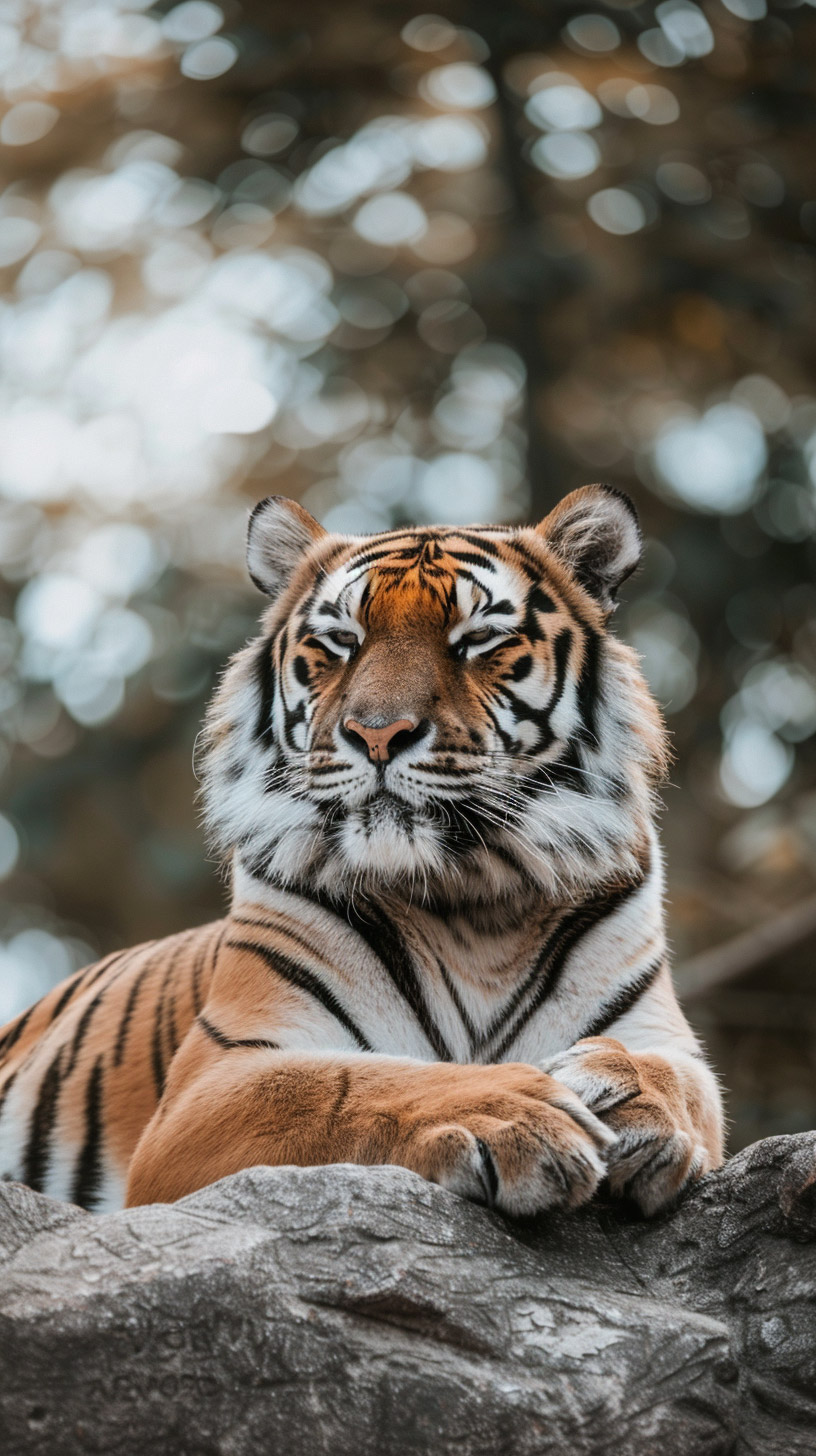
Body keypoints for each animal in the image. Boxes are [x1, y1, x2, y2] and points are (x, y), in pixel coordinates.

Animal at [0, 485, 724, 1217]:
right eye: (341, 642)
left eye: (477, 640)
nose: (377, 734)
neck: (474, 906)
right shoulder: (208, 1088)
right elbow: (347, 1085)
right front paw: (516, 1111)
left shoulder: (666, 1038)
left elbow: (684, 1081)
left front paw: (622, 1086)